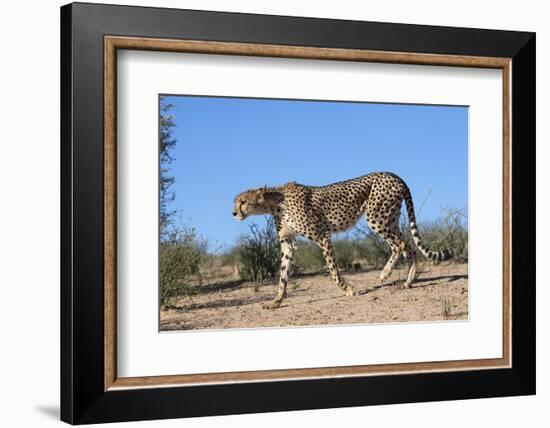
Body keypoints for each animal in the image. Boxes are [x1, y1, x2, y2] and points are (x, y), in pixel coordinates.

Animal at [233, 172, 452, 310]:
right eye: (236, 202)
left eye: (243, 202)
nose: (234, 213)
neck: (275, 203)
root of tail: (393, 174)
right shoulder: (287, 243)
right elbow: (283, 275)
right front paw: (276, 302)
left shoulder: (322, 236)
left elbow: (333, 272)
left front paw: (348, 289)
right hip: (390, 219)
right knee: (410, 247)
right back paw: (408, 282)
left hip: (377, 217)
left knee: (399, 245)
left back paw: (385, 273)